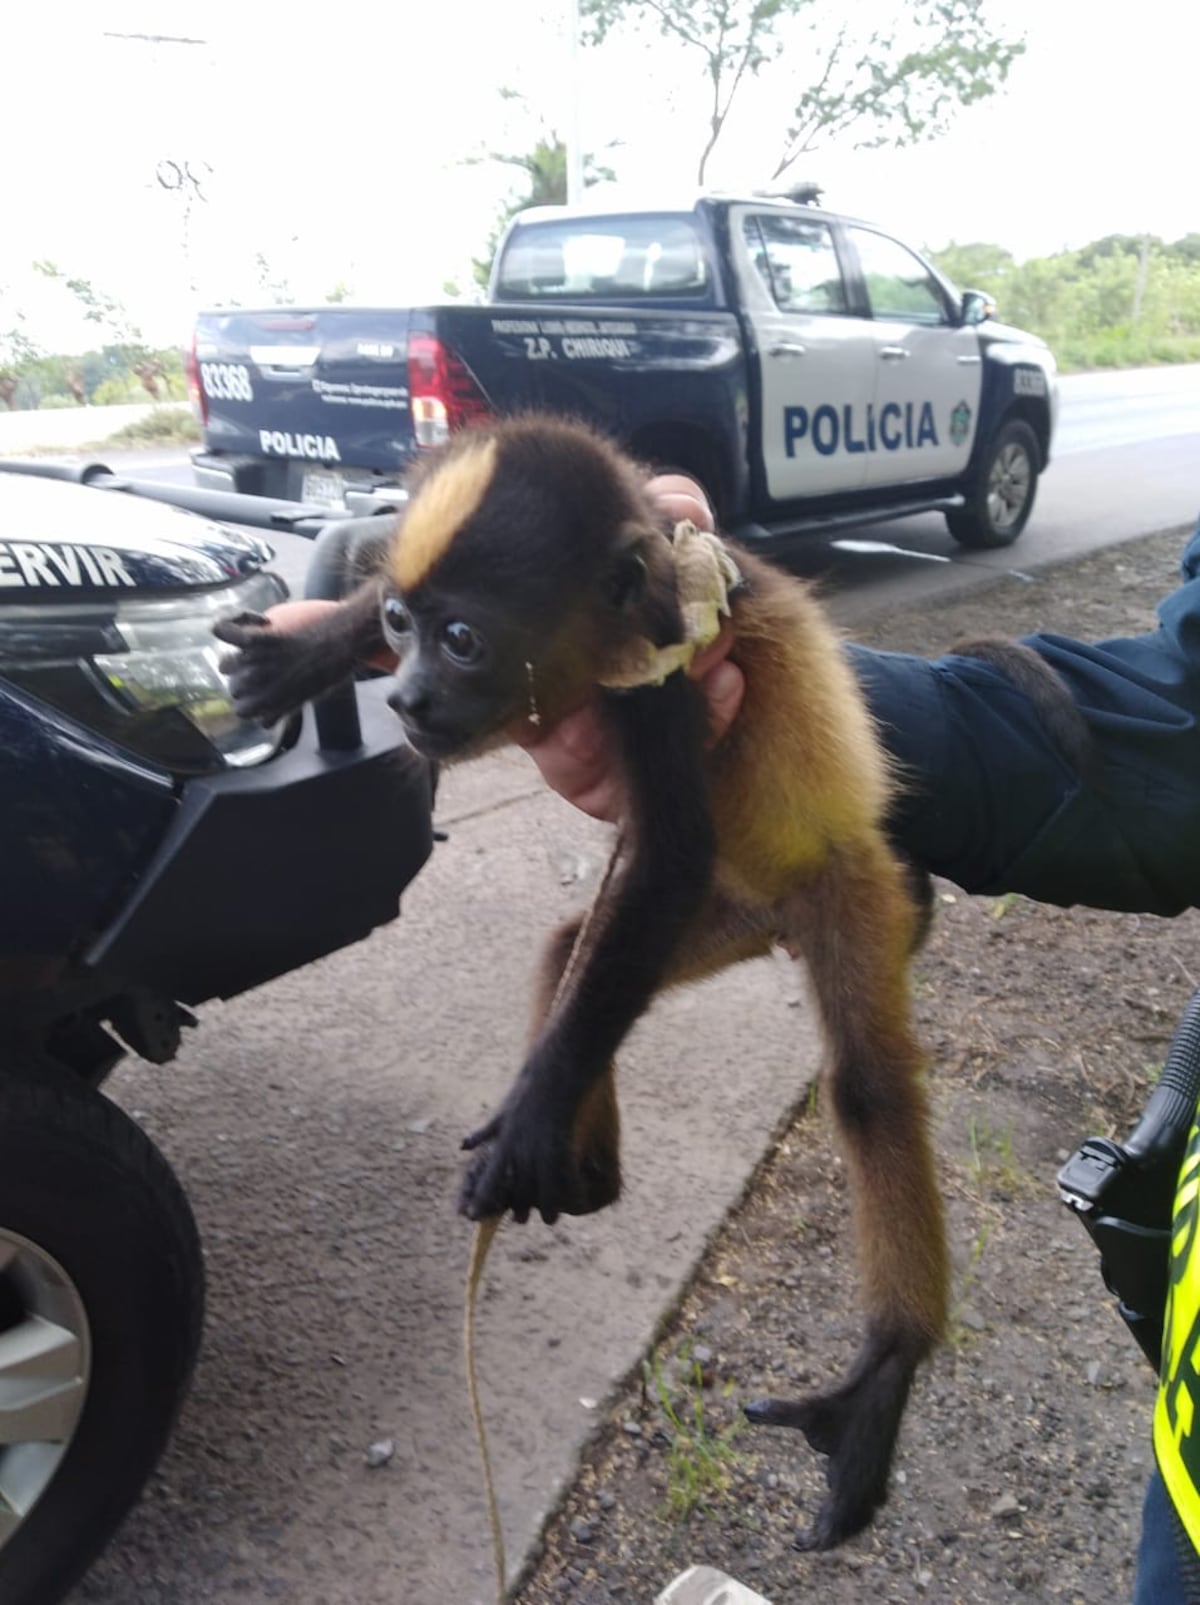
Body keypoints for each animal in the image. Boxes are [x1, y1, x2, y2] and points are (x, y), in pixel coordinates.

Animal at [213, 412, 1089, 1552]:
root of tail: (792, 907)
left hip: (846, 893)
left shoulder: (666, 672)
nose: (400, 694)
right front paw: (315, 645)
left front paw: (528, 1120)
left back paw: (884, 1366)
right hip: (726, 920)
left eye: (462, 640)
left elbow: (668, 855)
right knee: (568, 953)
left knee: (866, 1085)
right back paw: (589, 1174)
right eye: (399, 623)